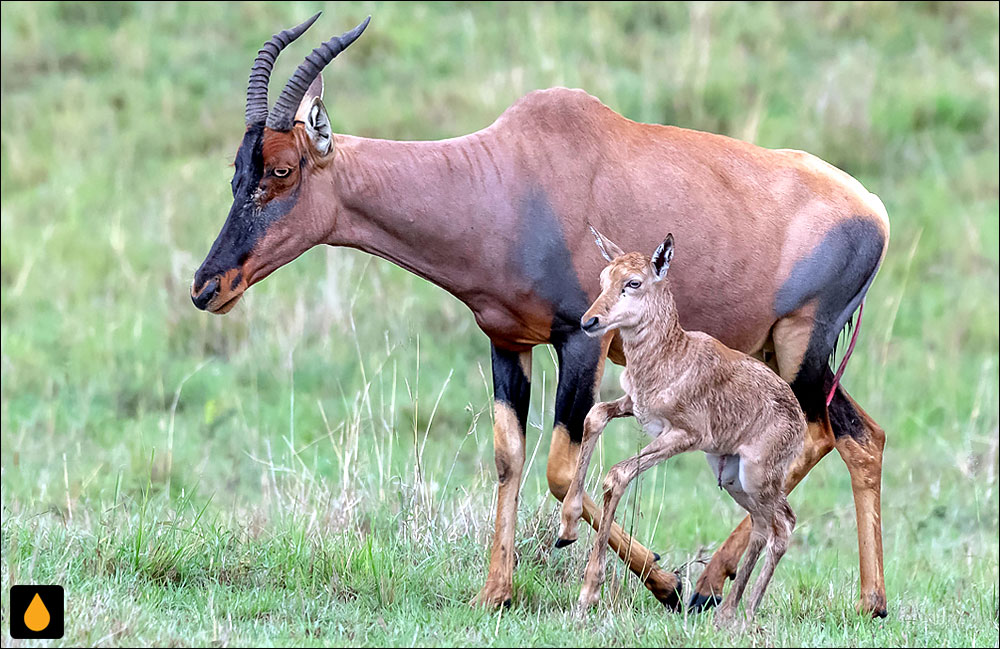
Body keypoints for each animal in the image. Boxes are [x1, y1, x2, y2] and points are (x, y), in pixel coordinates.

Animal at [189, 12, 892, 616]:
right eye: (236, 170)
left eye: (283, 170)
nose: (206, 287)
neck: (510, 175)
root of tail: (875, 210)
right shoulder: (508, 344)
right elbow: (508, 458)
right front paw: (494, 593)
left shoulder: (581, 341)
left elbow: (559, 471)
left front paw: (661, 582)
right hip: (775, 354)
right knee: (861, 435)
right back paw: (866, 601)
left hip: (802, 344)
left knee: (823, 434)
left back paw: (719, 586)